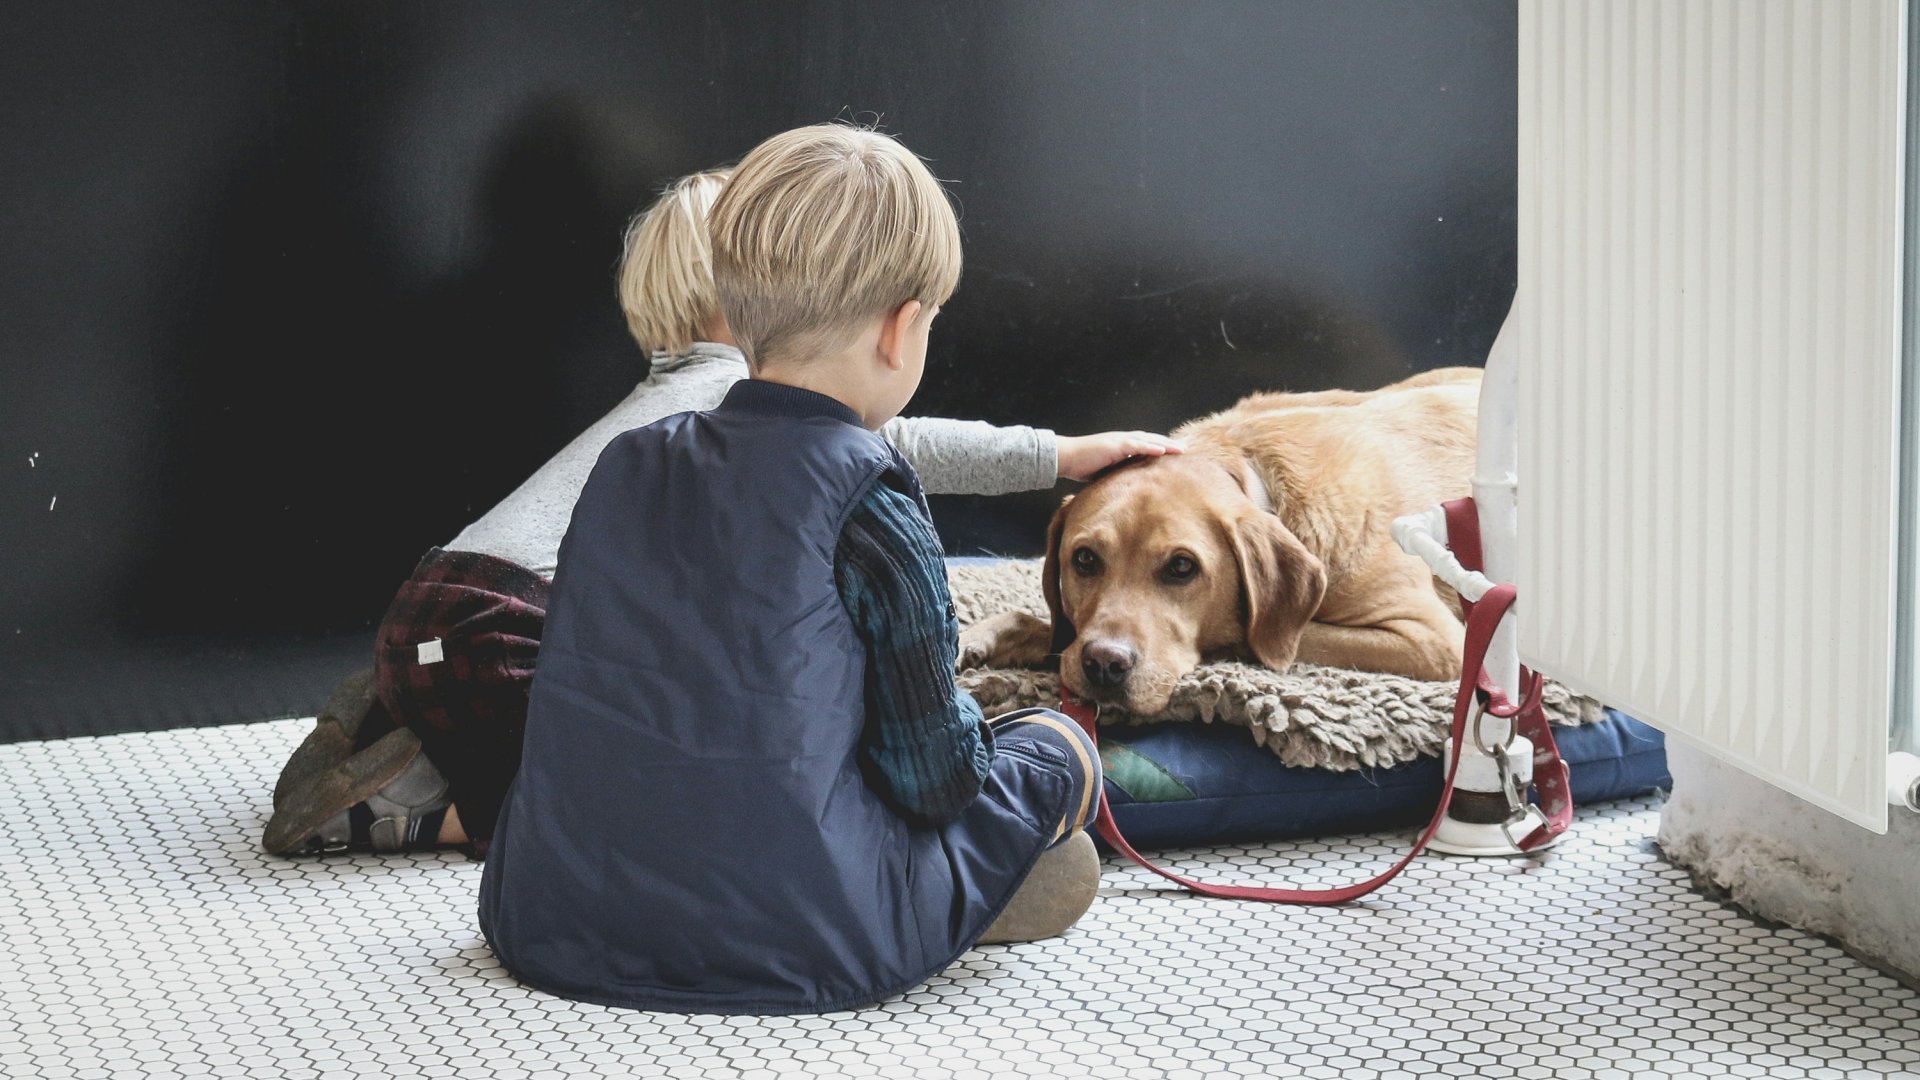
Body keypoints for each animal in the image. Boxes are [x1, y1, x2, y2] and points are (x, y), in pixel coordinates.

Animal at [960, 367, 1482, 714]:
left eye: (1182, 567)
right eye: (1084, 559)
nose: (1104, 664)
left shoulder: (1434, 640)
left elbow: (1252, 635)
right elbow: (1052, 626)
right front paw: (985, 636)